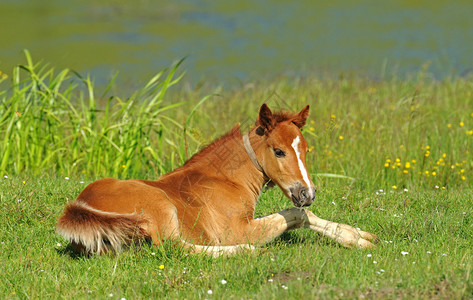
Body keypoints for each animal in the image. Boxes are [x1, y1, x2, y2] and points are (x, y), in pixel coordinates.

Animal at [58, 103, 376, 255]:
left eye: (306, 150)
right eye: (279, 151)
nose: (307, 193)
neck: (228, 179)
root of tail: (80, 209)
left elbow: (302, 215)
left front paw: (360, 236)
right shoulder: (239, 229)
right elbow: (294, 215)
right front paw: (356, 239)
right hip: (160, 206)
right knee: (175, 249)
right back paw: (244, 252)